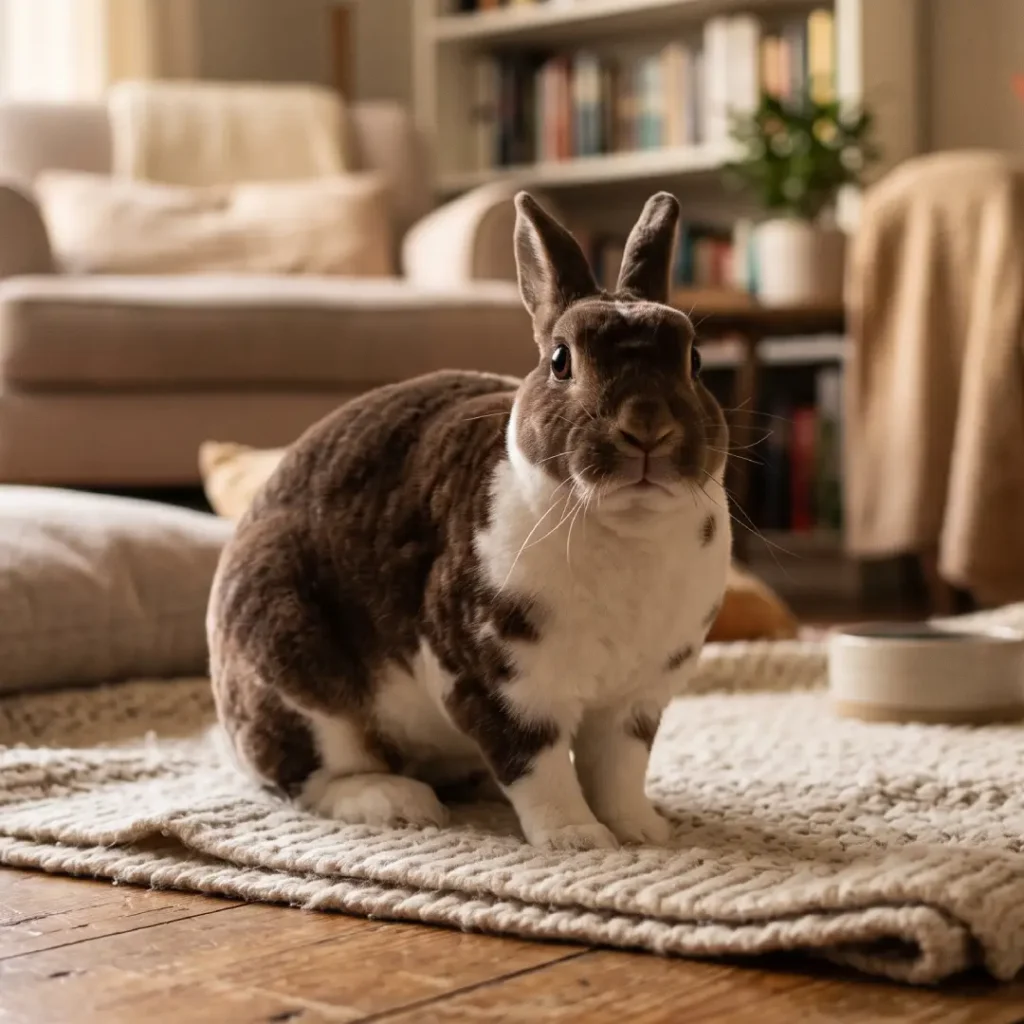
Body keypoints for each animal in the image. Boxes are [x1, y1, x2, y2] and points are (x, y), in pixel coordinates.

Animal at [207, 190, 731, 851]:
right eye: (561, 360)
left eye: (695, 361)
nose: (647, 427)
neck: (625, 525)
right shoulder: (503, 689)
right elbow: (538, 769)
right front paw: (577, 840)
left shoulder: (634, 703)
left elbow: (618, 771)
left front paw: (642, 832)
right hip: (296, 675)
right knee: (312, 776)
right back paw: (398, 803)